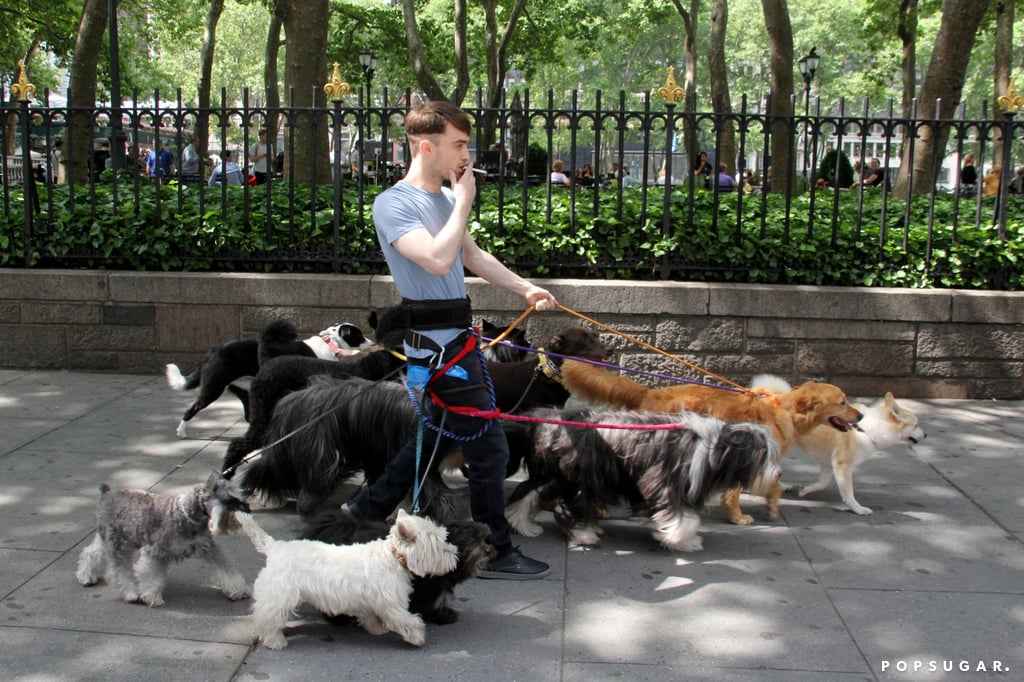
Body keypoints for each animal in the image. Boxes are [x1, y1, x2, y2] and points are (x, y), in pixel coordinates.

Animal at [235, 509, 456, 647]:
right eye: (439, 546)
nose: (455, 552)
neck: (394, 556)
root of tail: (274, 547)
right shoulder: (391, 603)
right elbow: (410, 620)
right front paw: (418, 638)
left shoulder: (370, 600)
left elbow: (369, 616)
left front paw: (376, 630)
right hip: (281, 594)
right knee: (267, 617)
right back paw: (275, 641)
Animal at [505, 405, 782, 548]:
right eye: (764, 454)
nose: (778, 473)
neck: (713, 447)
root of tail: (551, 420)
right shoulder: (664, 483)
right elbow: (685, 518)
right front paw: (675, 537)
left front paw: (685, 540)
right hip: (580, 478)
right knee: (566, 507)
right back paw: (584, 534)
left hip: (553, 474)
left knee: (526, 492)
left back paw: (523, 525)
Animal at [557, 360, 860, 520]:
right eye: (843, 401)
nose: (860, 416)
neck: (783, 410)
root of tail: (649, 393)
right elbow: (736, 492)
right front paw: (739, 517)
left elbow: (772, 484)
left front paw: (772, 504)